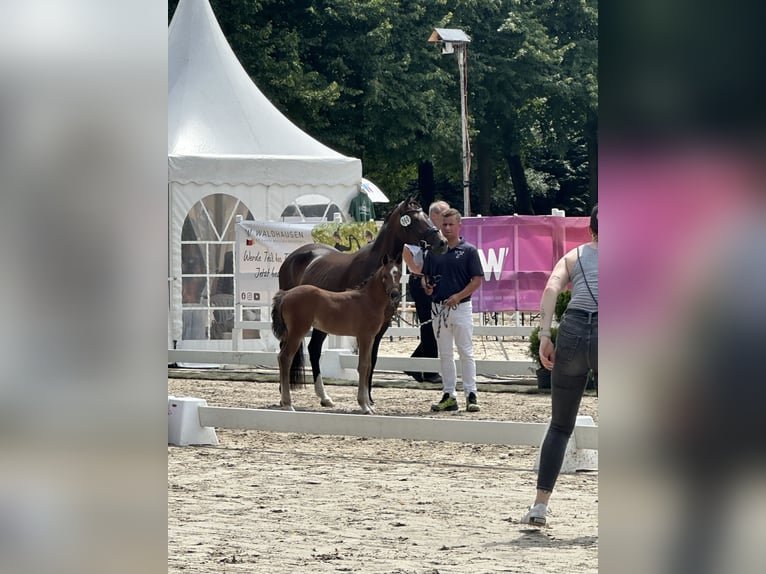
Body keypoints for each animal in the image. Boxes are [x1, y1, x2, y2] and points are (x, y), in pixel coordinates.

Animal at [272, 258, 402, 414]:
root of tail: (286, 294)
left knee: (281, 357)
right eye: (384, 276)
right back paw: (288, 404)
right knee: (285, 358)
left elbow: (368, 365)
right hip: (297, 332)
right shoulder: (364, 336)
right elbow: (363, 366)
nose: (394, 294)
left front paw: (369, 405)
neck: (368, 300)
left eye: (399, 274)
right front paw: (364, 406)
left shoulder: (369, 338)